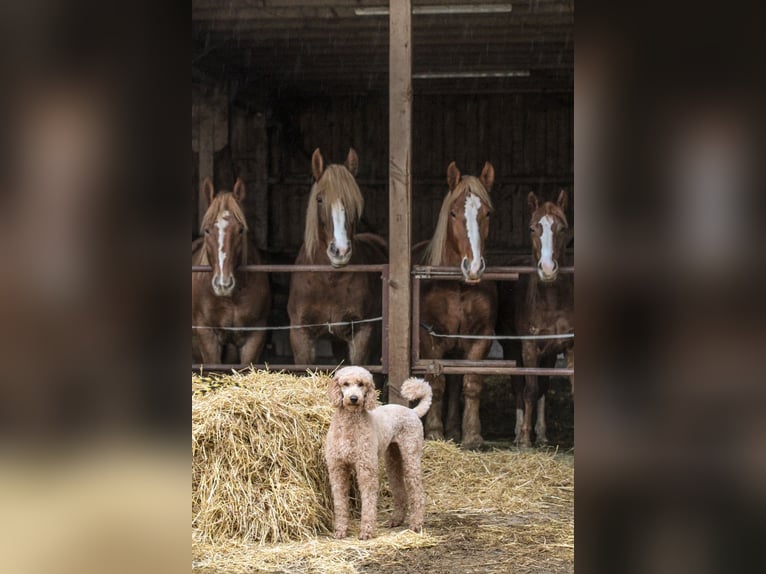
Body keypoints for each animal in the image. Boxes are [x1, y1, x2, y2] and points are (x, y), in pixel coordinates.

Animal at [192, 178, 272, 366]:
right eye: (207, 230)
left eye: (240, 230)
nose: (223, 284)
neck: (231, 299)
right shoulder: (207, 336)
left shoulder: (255, 336)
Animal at [286, 150, 388, 368]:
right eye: (319, 199)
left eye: (353, 202)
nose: (340, 251)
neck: (329, 280)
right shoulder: (300, 335)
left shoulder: (362, 334)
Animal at [414, 161, 498, 450]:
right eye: (453, 213)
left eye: (487, 213)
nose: (473, 267)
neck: (459, 287)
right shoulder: (429, 337)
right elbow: (436, 383)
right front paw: (434, 431)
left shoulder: (481, 336)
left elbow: (471, 383)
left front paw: (472, 435)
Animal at [498, 191, 576, 448]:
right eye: (533, 228)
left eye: (563, 228)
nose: (548, 268)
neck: (551, 302)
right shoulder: (529, 347)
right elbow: (529, 390)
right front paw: (524, 438)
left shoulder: (568, 346)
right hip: (512, 347)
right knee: (519, 387)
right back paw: (517, 432)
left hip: (549, 353)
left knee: (543, 387)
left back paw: (541, 434)